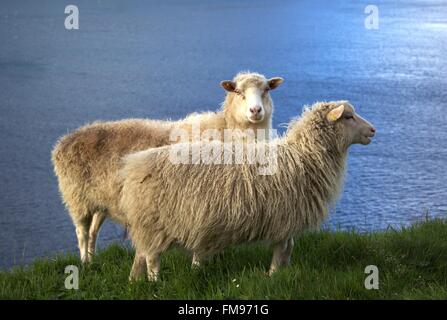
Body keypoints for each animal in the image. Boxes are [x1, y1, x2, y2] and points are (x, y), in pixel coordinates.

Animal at [51, 72, 284, 262]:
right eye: (237, 91)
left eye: (266, 90)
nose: (255, 110)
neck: (227, 130)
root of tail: (64, 141)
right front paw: (198, 265)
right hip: (76, 198)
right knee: (81, 232)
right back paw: (84, 263)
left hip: (100, 200)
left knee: (92, 232)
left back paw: (92, 260)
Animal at [121, 100, 376, 280]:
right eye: (348, 116)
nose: (373, 130)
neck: (303, 156)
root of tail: (134, 165)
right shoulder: (283, 218)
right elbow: (282, 250)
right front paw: (273, 275)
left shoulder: (289, 218)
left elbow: (289, 249)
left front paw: (284, 272)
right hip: (156, 223)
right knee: (152, 258)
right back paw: (155, 282)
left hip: (147, 224)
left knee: (140, 255)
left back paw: (134, 281)